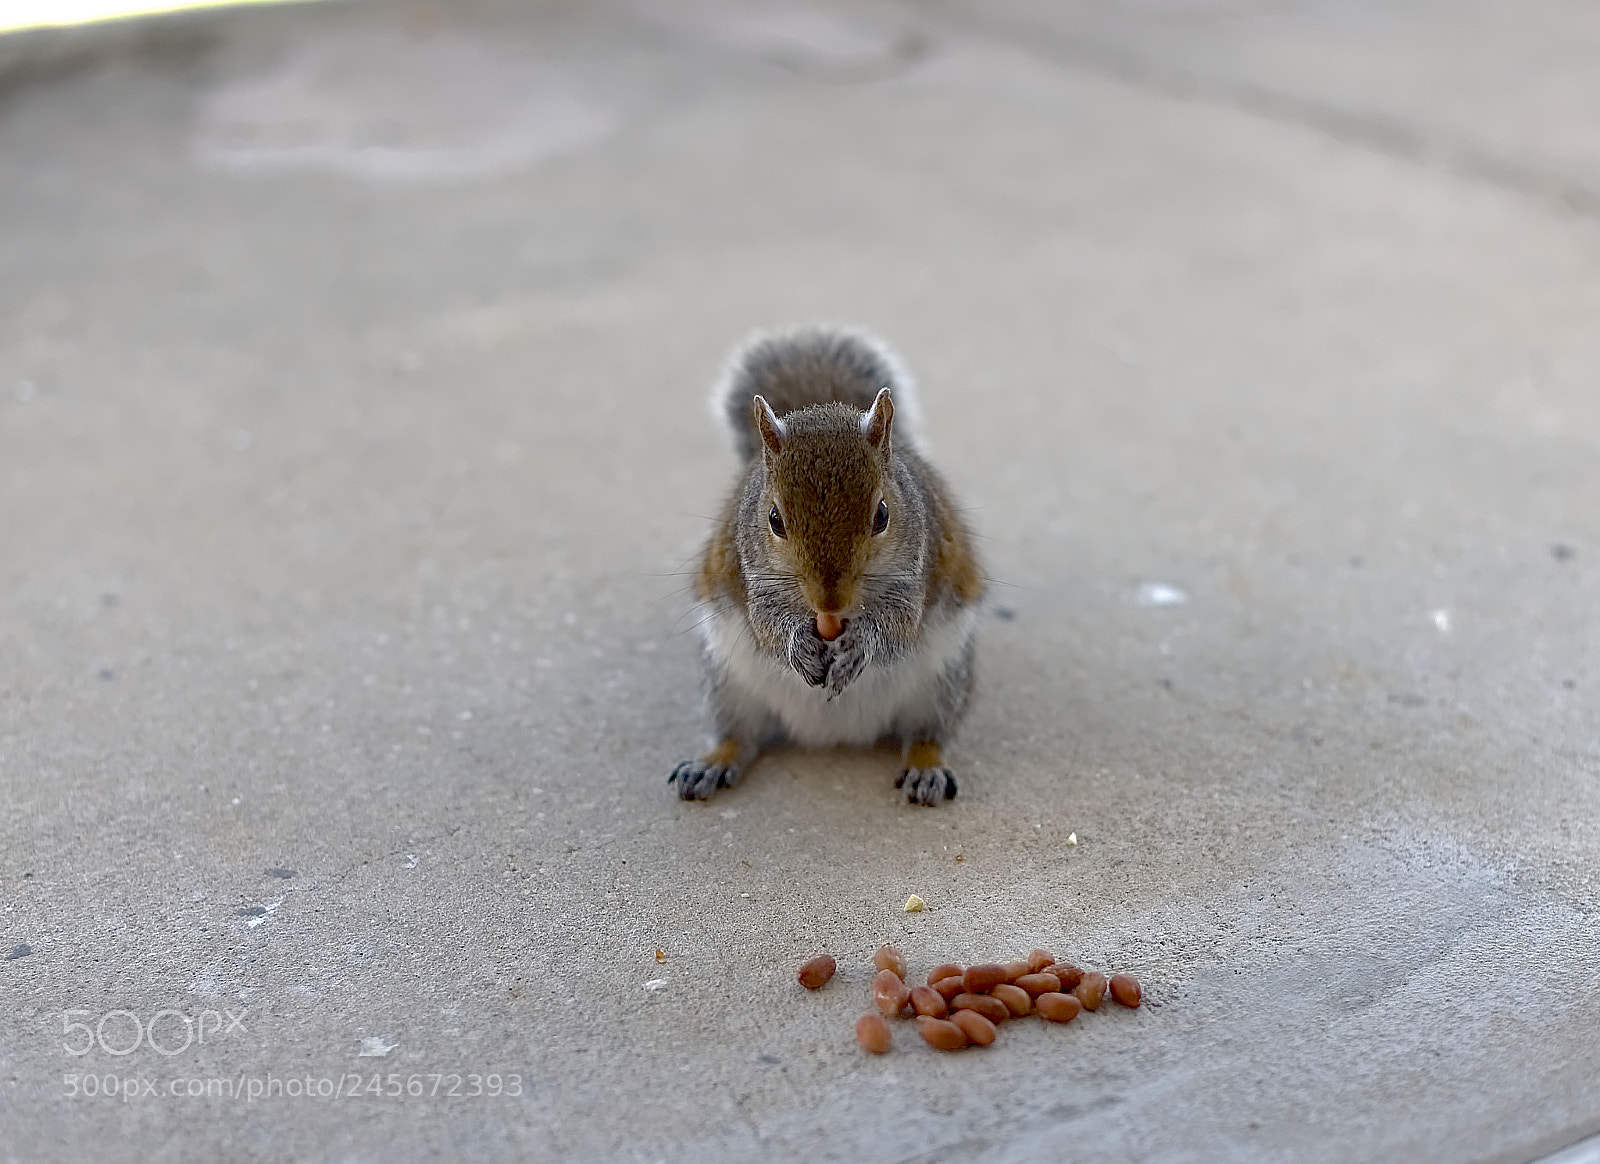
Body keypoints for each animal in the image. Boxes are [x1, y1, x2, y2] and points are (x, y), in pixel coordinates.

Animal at [669, 326, 985, 806]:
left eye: (882, 515)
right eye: (774, 519)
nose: (829, 601)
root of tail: (833, 733)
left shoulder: (916, 572)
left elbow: (898, 626)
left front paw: (860, 647)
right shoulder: (753, 576)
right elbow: (768, 625)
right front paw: (797, 645)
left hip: (942, 681)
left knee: (927, 733)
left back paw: (925, 767)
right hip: (727, 682)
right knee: (739, 736)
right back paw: (713, 762)